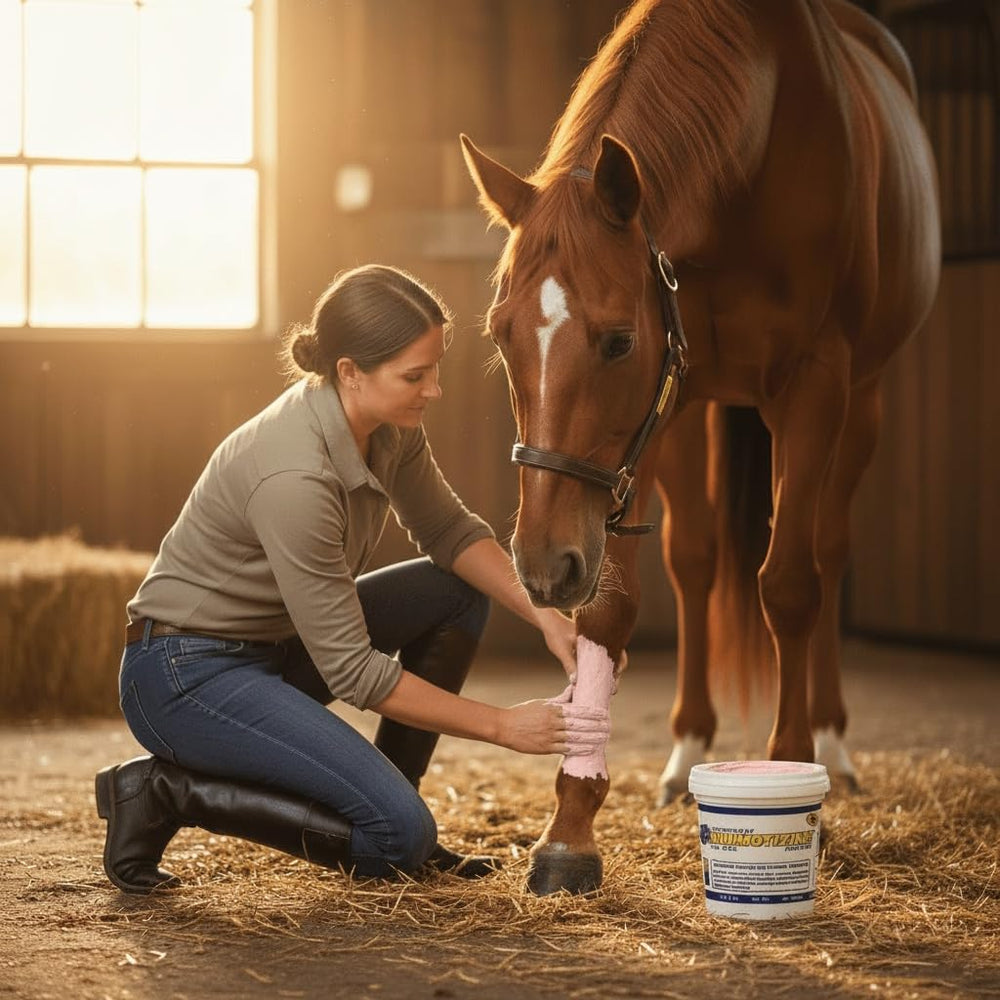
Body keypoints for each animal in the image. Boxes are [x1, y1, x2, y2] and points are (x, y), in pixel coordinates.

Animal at [462, 0, 940, 896]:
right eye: (501, 336)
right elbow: (615, 606)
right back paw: (686, 756)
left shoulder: (814, 384)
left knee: (827, 551)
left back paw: (831, 746)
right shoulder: (666, 399)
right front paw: (570, 828)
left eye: (617, 341)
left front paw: (795, 784)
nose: (542, 566)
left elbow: (788, 586)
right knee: (696, 560)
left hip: (863, 401)